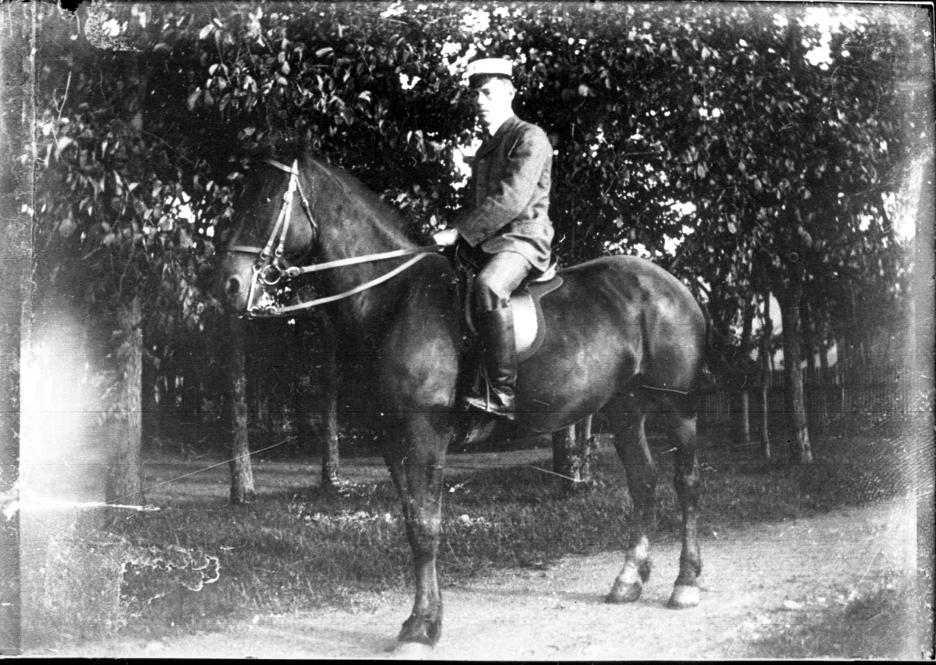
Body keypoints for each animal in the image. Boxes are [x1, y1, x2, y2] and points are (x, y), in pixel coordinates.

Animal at [217, 153, 709, 648]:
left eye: (266, 198)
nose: (227, 285)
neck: (396, 298)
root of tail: (674, 286)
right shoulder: (391, 437)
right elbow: (413, 522)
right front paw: (420, 619)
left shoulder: (426, 432)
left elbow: (427, 525)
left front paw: (424, 625)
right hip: (625, 409)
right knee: (643, 481)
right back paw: (628, 580)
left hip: (678, 408)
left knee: (686, 483)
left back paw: (685, 583)